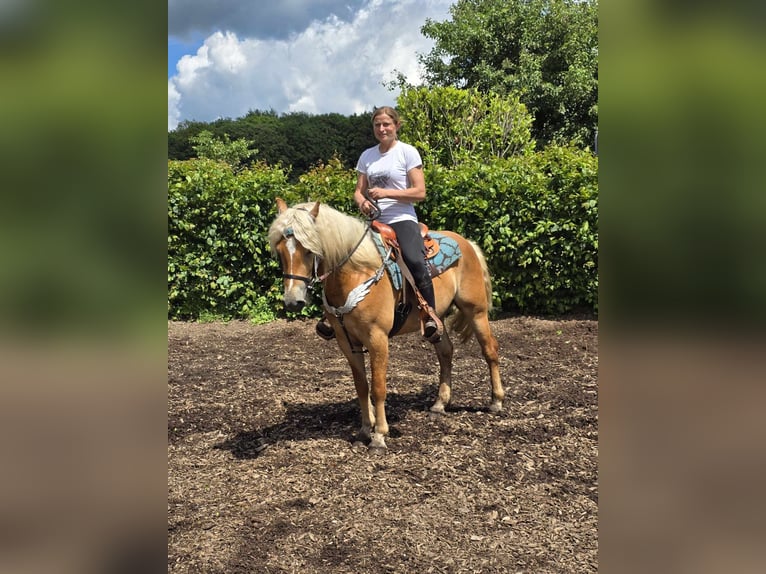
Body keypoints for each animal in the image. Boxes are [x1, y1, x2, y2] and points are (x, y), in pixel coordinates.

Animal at [268, 200, 508, 452]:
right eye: (280, 251)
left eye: (308, 249)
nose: (293, 301)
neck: (356, 272)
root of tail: (467, 243)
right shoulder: (347, 341)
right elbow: (361, 386)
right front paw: (365, 430)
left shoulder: (377, 339)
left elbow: (378, 387)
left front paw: (379, 437)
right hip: (438, 321)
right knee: (445, 352)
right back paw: (439, 404)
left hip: (476, 311)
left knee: (490, 350)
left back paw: (496, 401)